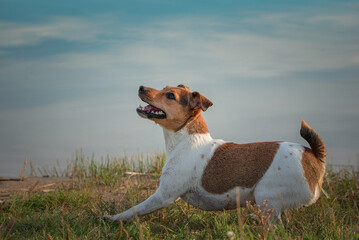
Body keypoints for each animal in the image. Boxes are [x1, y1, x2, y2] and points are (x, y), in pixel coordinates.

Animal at [103, 84, 326, 223]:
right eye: (164, 87)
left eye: (170, 96)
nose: (141, 87)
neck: (187, 140)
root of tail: (313, 156)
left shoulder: (163, 196)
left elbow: (134, 210)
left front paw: (113, 219)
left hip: (266, 196)